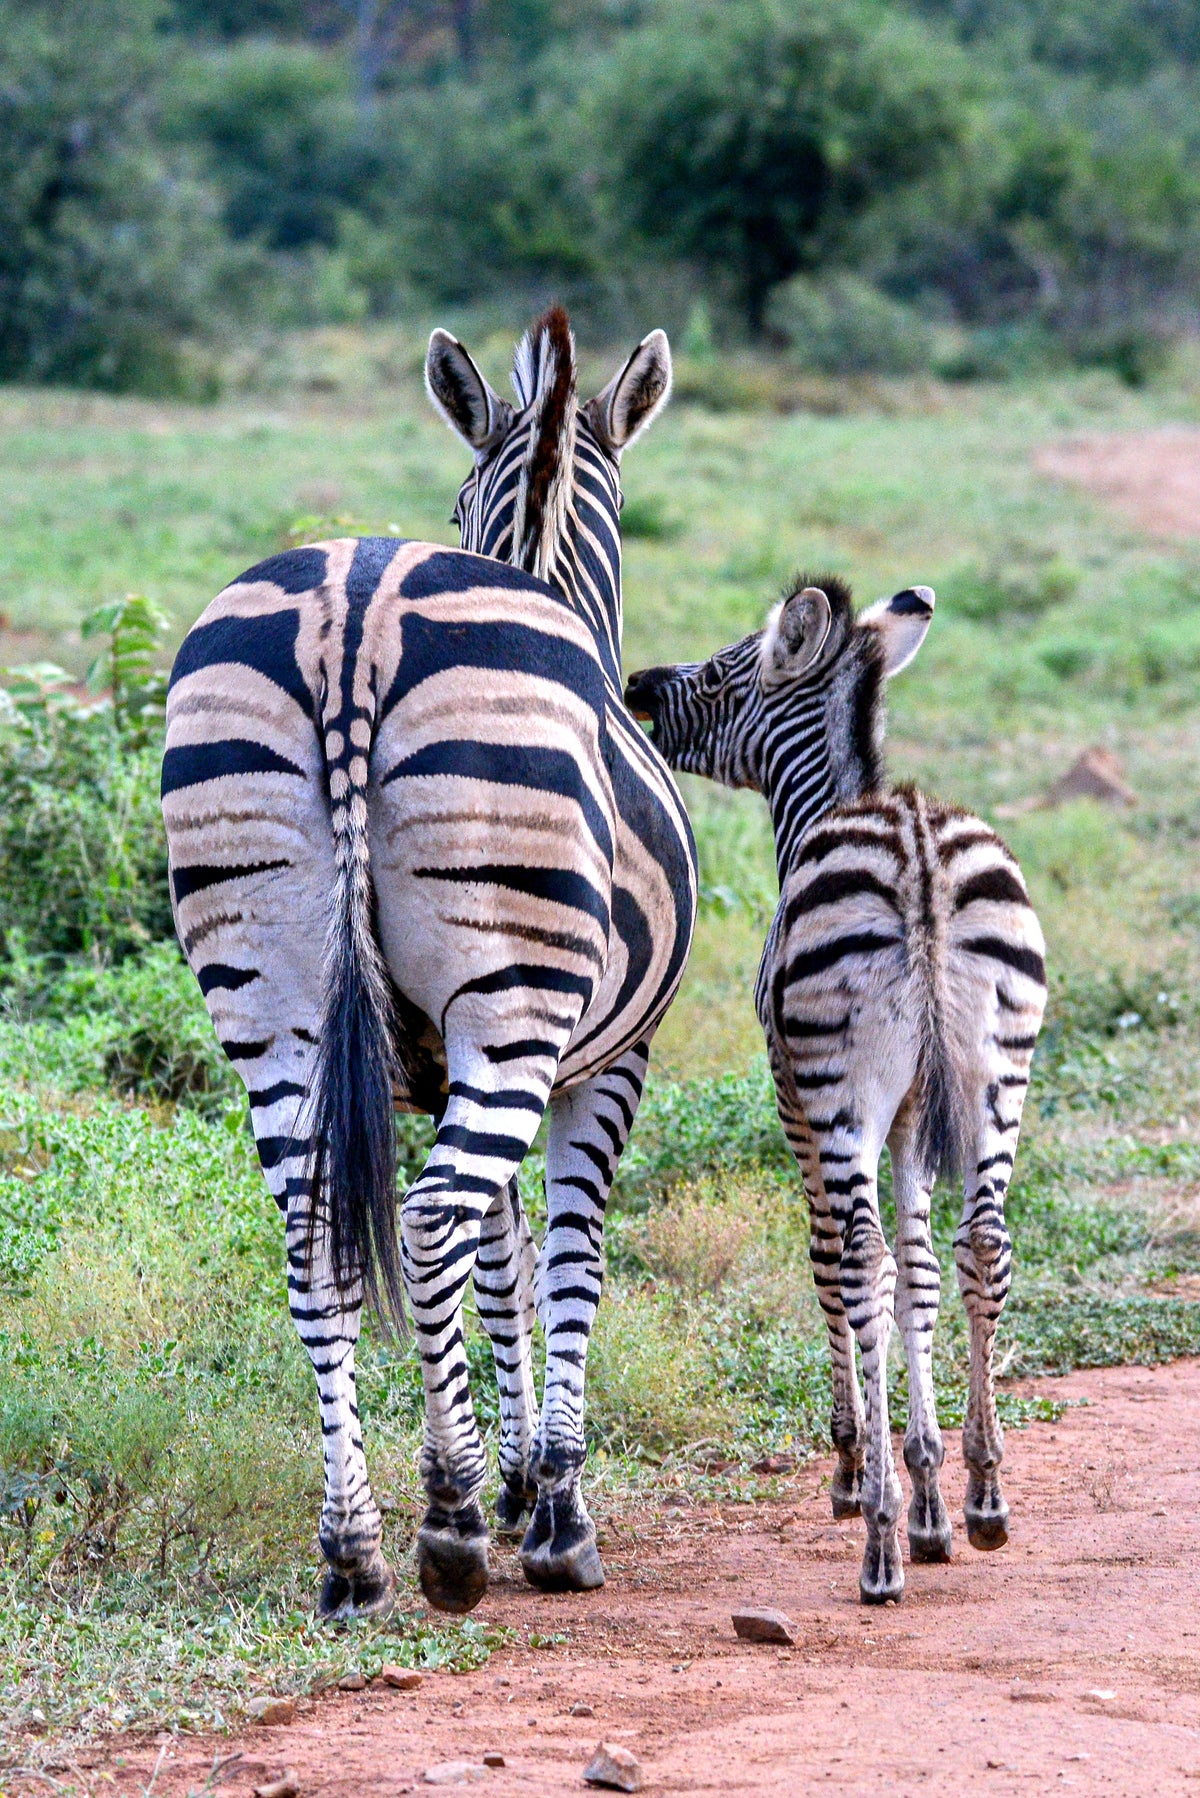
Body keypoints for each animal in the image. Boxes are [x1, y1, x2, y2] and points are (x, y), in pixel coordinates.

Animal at [162, 307, 697, 1619]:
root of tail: (351, 610)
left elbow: (506, 1263)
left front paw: (516, 1477)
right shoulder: (599, 1061)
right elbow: (565, 1256)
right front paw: (549, 1504)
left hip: (270, 994)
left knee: (317, 1236)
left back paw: (352, 1551)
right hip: (511, 997)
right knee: (427, 1217)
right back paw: (446, 1528)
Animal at [625, 575, 1047, 1604]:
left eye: (724, 671)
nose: (637, 684)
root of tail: (918, 849)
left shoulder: (795, 1099)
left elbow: (839, 1266)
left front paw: (863, 1474)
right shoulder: (912, 1118)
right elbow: (922, 1273)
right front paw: (934, 1493)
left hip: (837, 1089)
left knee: (854, 1258)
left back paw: (879, 1546)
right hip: (997, 1078)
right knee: (983, 1245)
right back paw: (984, 1499)